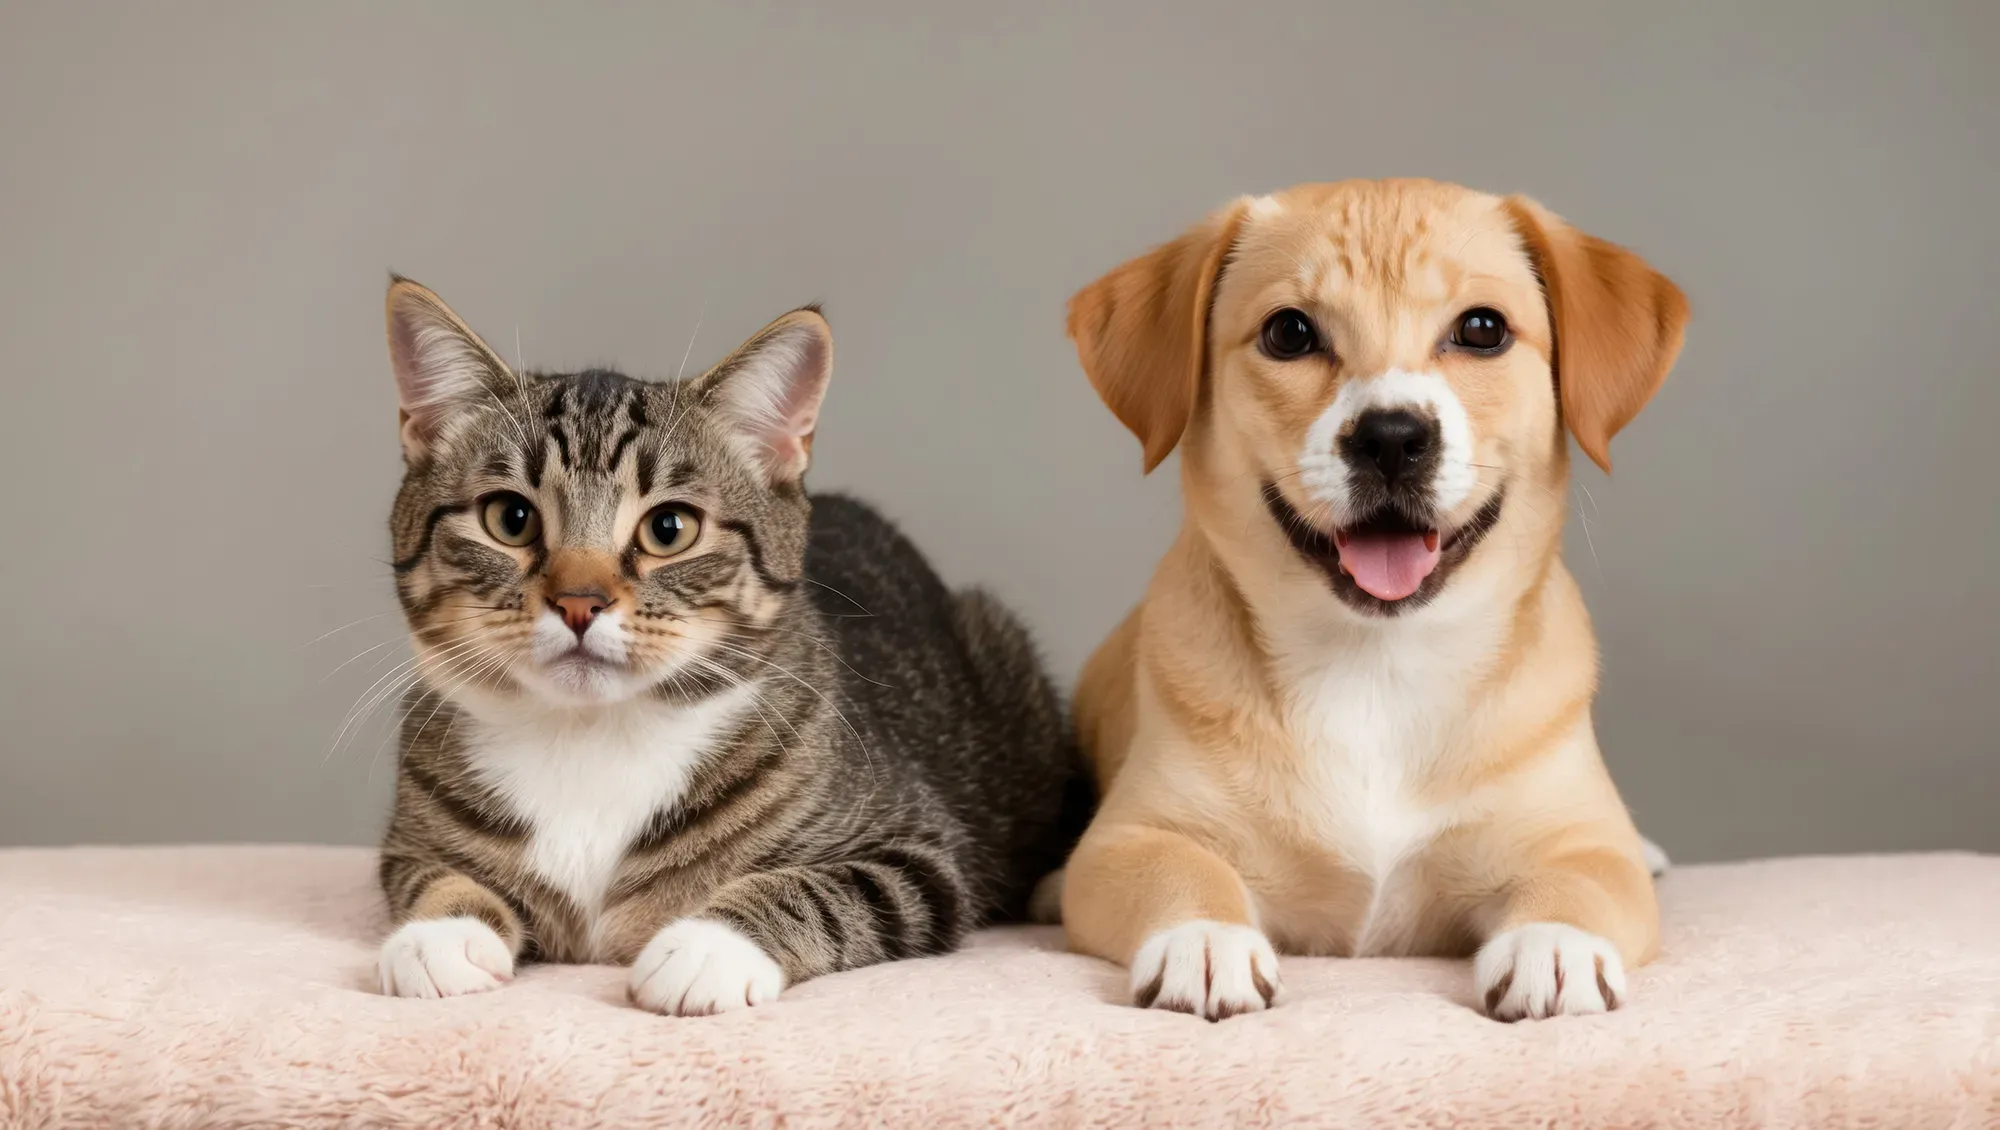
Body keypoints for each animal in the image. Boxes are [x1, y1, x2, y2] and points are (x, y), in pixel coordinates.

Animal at [376, 276, 1096, 1012]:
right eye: (511, 518)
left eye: (669, 528)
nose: (580, 602)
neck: (589, 736)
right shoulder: (408, 840)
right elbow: (428, 874)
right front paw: (442, 931)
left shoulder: (921, 851)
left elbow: (827, 889)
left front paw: (709, 945)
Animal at [1056, 178, 1696, 1024]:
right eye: (1289, 332)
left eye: (1483, 329)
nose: (1392, 437)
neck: (1377, 667)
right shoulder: (1128, 839)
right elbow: (1179, 869)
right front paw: (1204, 940)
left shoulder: (1581, 842)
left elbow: (1583, 880)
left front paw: (1552, 943)